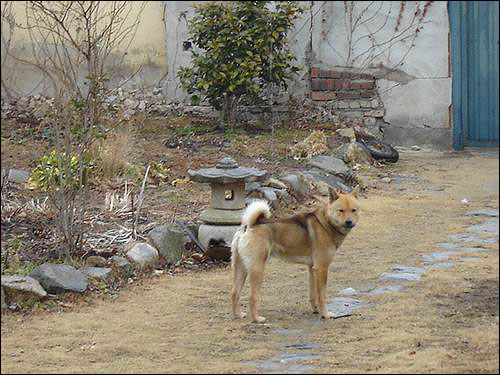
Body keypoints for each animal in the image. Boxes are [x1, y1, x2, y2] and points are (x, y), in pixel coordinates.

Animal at [230, 188, 360, 324]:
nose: (349, 222)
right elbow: (322, 296)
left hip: (241, 268)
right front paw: (325, 314)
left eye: (353, 210)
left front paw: (316, 310)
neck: (325, 223)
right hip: (257, 269)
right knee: (252, 296)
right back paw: (257, 319)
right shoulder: (322, 269)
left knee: (234, 293)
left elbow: (313, 295)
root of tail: (249, 226)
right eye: (341, 210)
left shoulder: (312, 268)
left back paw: (238, 315)